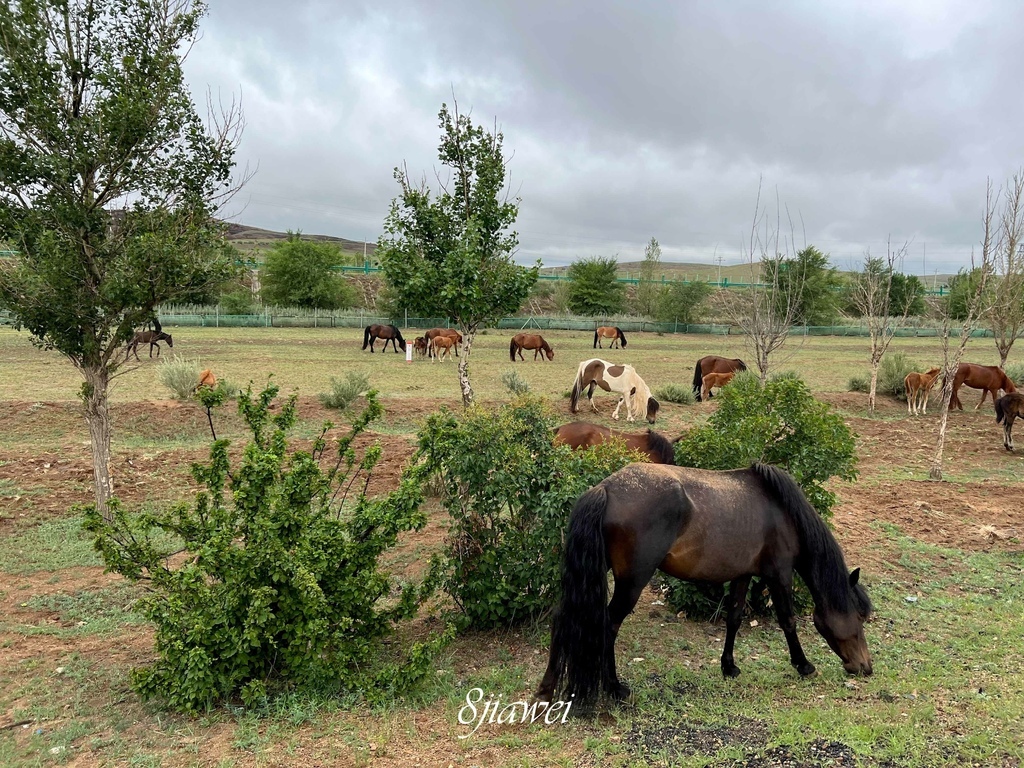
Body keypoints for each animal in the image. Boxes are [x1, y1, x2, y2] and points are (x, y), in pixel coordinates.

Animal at [536, 462, 872, 708]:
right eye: (859, 617)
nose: (866, 667)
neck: (781, 511)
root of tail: (605, 488)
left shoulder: (743, 574)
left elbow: (734, 618)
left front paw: (729, 666)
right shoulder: (779, 574)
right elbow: (788, 621)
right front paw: (803, 665)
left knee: (562, 618)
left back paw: (546, 690)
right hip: (631, 583)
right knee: (608, 625)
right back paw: (615, 688)